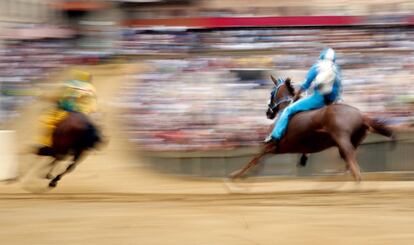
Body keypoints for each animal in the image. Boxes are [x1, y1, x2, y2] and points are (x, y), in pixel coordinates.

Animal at [230, 77, 394, 182]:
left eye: (271, 93)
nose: (268, 113)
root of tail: (361, 115)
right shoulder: (276, 149)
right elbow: (258, 161)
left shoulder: (273, 145)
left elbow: (254, 159)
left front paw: (236, 175)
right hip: (350, 143)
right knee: (351, 165)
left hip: (342, 140)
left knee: (353, 168)